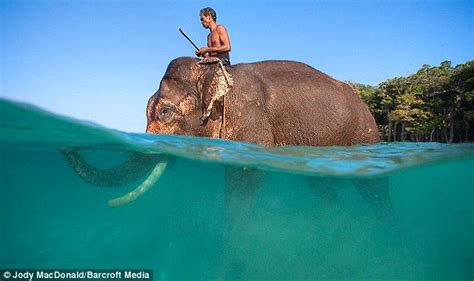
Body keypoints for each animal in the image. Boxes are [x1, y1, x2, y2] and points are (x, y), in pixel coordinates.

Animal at [63, 57, 382, 206]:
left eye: (165, 113)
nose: (69, 145)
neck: (212, 74)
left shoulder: (250, 122)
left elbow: (245, 183)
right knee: (324, 186)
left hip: (364, 136)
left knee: (371, 189)